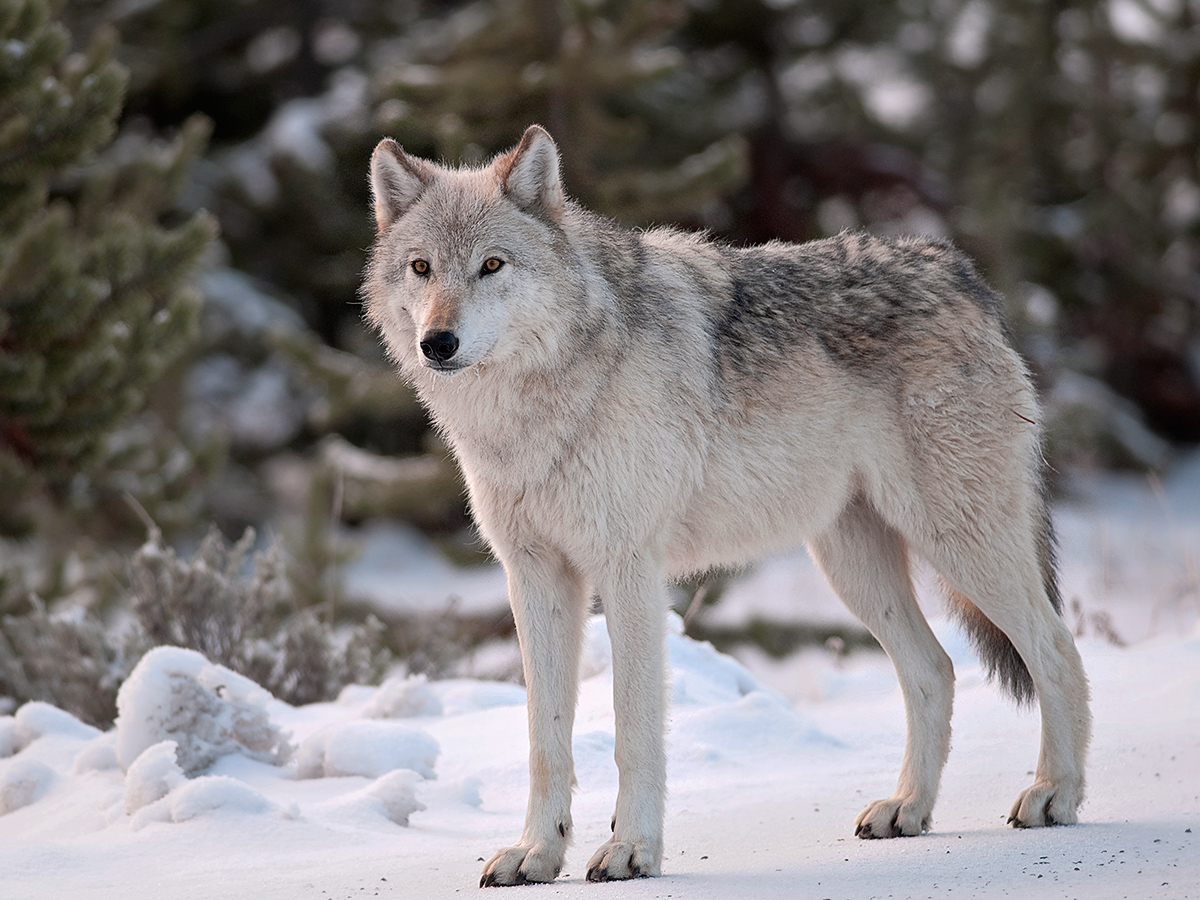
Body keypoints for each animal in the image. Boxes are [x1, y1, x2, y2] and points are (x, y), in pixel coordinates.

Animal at [361, 125, 1091, 886]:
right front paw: (536, 853)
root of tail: (957, 270)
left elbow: (632, 731)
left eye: (491, 265)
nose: (437, 342)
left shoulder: (628, 571)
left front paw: (631, 850)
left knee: (1056, 647)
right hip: (854, 568)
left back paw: (1054, 794)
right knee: (935, 671)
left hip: (958, 542)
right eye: (421, 268)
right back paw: (908, 808)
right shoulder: (535, 577)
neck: (533, 412)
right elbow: (545, 739)